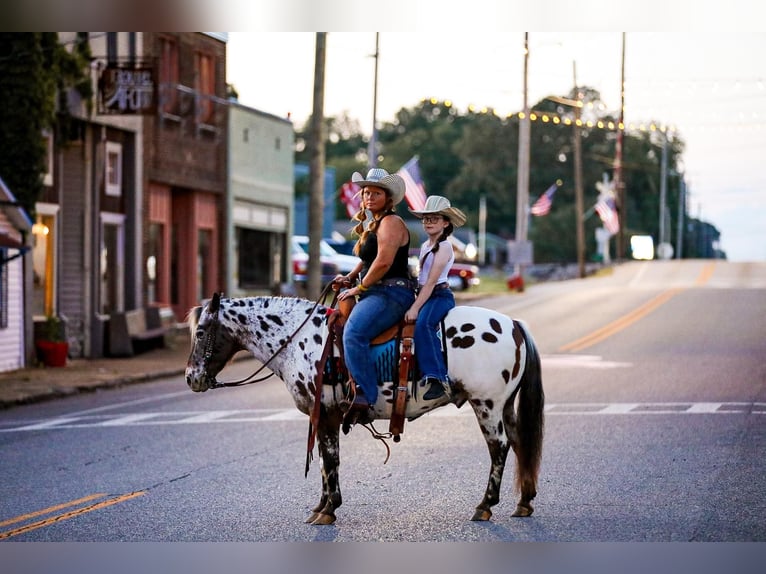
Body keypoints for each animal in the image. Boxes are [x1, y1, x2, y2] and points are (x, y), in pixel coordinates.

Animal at [186, 294, 544, 524]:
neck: (302, 340)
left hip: (487, 404)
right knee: (519, 442)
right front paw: (321, 506)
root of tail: (513, 324)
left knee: (499, 447)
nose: (191, 377)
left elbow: (330, 461)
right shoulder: (323, 417)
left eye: (201, 332)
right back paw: (524, 501)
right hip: (504, 406)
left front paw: (328, 510)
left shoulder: (327, 415)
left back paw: (485, 505)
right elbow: (325, 462)